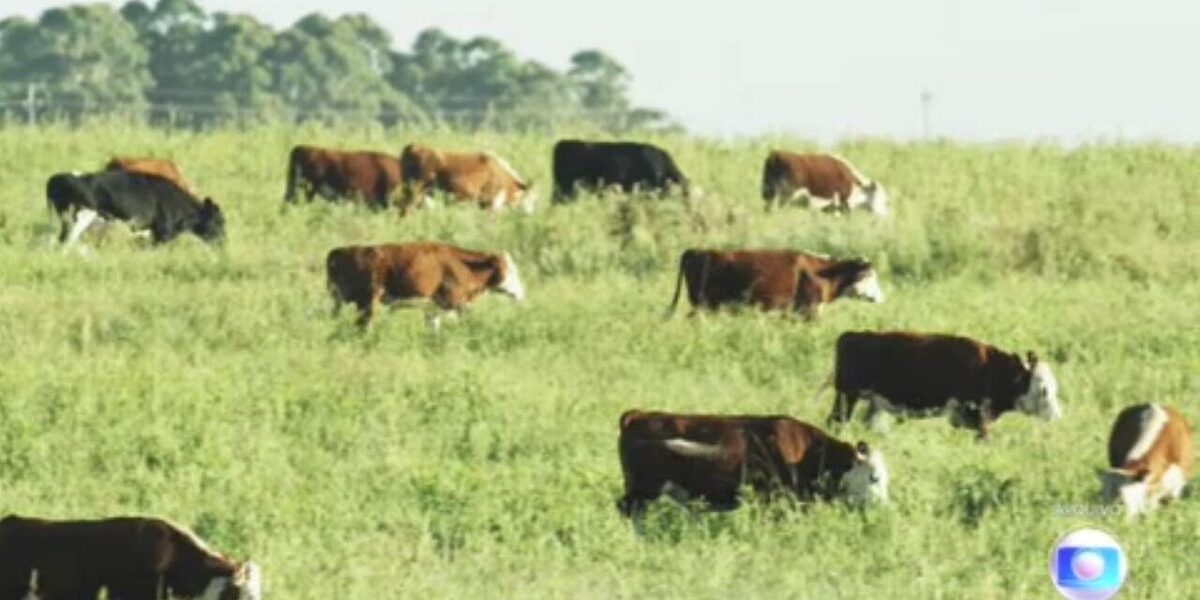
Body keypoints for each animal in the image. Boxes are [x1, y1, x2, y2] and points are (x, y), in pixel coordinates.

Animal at [326, 241, 526, 330]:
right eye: (511, 272)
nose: (522, 293)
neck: (463, 265)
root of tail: (338, 251)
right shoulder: (455, 303)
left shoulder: (432, 308)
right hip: (368, 301)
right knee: (364, 325)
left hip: (343, 301)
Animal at [822, 331, 1062, 440]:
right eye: (1044, 390)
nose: (1057, 416)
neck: (992, 369)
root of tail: (851, 335)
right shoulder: (974, 414)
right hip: (846, 396)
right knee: (835, 421)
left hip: (871, 404)